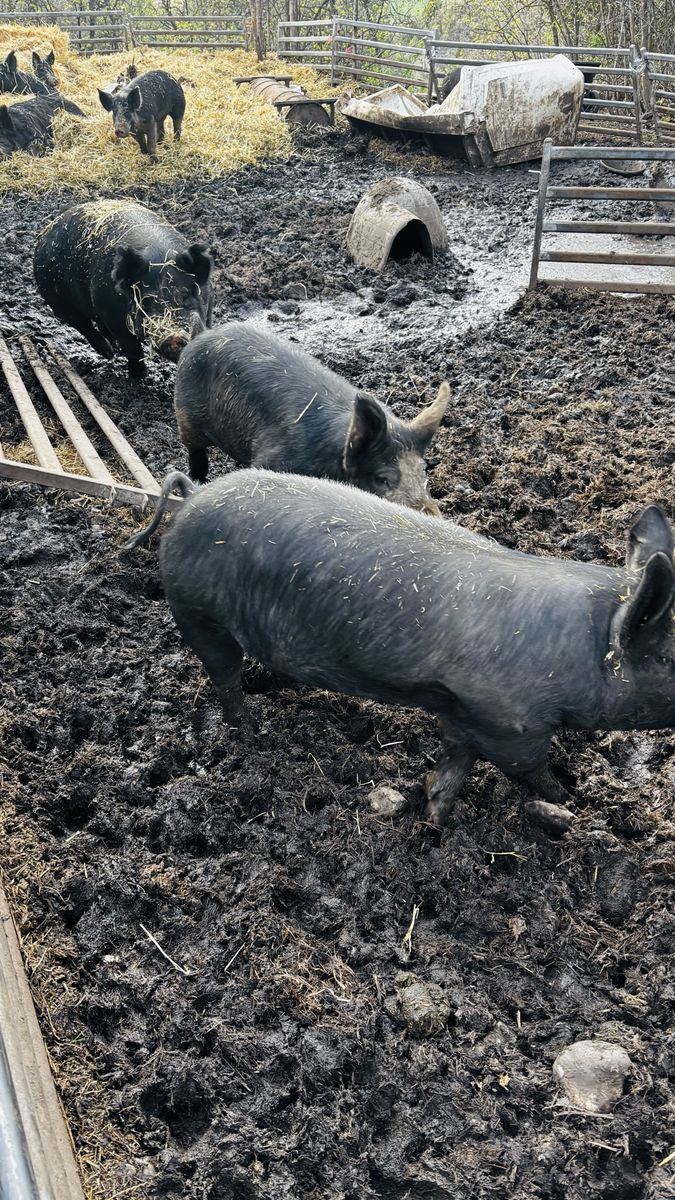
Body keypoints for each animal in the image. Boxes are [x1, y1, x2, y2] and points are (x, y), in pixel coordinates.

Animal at [33, 200, 212, 376]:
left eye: (185, 295)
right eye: (145, 302)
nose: (173, 338)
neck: (160, 258)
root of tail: (48, 230)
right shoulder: (113, 316)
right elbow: (133, 350)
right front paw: (139, 377)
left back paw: (114, 350)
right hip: (55, 300)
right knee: (83, 325)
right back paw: (109, 353)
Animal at [126, 470, 675, 835]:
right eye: (668, 657)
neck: (581, 646)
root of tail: (193, 497)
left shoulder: (466, 712)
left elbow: (451, 768)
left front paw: (434, 822)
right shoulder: (511, 725)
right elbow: (531, 771)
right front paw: (572, 801)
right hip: (197, 613)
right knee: (224, 678)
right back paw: (252, 735)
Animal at [173, 323, 448, 512]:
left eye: (423, 473)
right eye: (382, 478)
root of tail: (203, 333)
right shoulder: (271, 459)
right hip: (186, 415)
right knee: (195, 453)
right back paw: (197, 478)